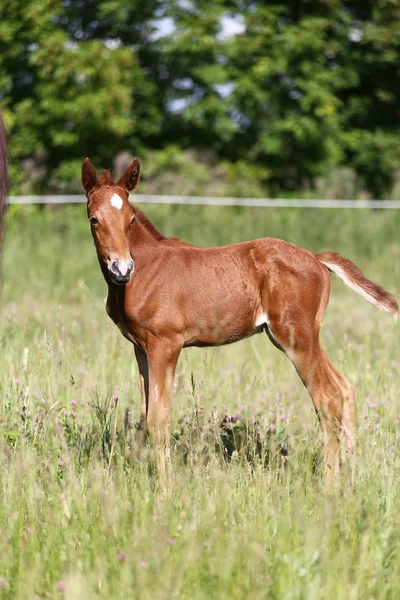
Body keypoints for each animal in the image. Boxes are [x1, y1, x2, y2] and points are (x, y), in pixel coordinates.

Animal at [81, 158, 396, 482]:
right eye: (94, 219)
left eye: (131, 219)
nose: (122, 269)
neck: (143, 270)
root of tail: (317, 258)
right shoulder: (141, 347)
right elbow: (146, 415)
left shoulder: (165, 345)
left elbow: (160, 417)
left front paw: (165, 487)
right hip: (305, 336)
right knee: (346, 388)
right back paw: (350, 476)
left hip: (296, 338)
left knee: (328, 396)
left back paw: (329, 483)